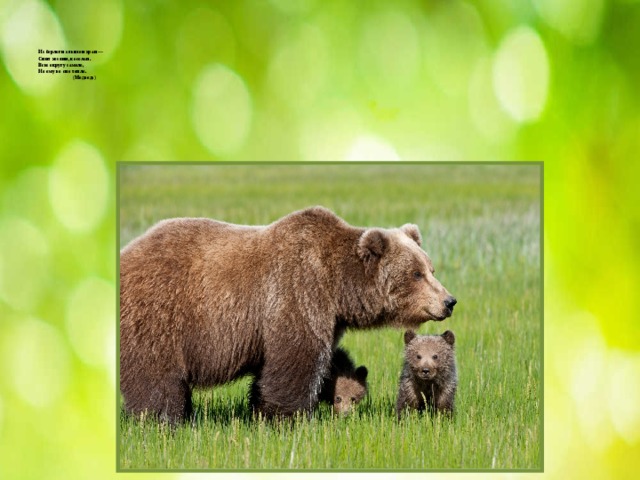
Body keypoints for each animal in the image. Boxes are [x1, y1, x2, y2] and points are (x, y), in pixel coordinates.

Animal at [119, 206, 456, 422]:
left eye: (431, 268)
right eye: (415, 273)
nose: (449, 301)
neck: (337, 286)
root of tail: (126, 253)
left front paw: (260, 411)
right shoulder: (297, 292)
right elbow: (295, 359)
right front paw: (288, 417)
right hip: (160, 315)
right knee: (156, 376)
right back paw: (162, 419)